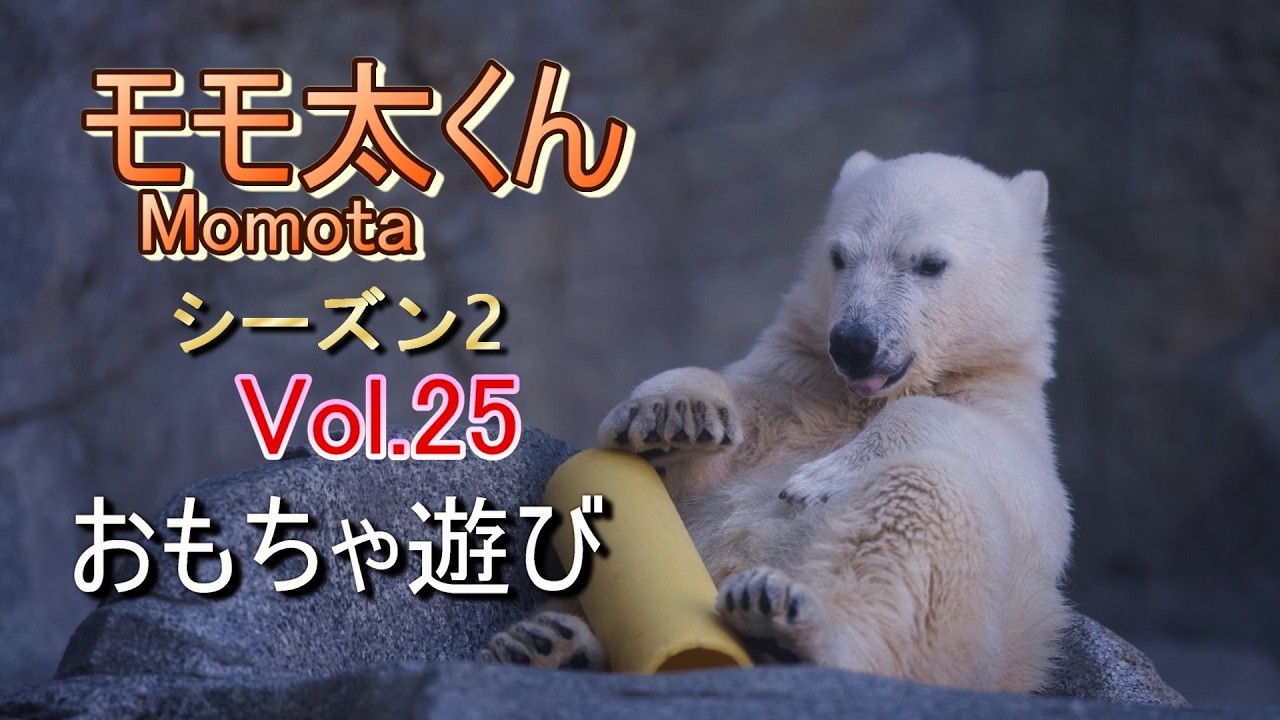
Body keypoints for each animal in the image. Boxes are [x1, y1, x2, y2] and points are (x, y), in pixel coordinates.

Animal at [480, 151, 1072, 693]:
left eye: (929, 263)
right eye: (839, 256)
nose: (854, 343)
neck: (853, 401)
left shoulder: (1015, 439)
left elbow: (1005, 467)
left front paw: (817, 480)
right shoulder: (796, 386)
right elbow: (698, 465)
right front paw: (675, 415)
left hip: (972, 639)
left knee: (922, 500)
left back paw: (785, 622)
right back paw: (547, 644)